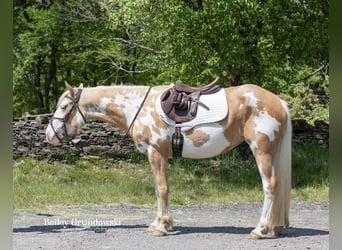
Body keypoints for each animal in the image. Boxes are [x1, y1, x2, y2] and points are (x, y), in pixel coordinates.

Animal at [44, 79, 292, 239]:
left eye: (64, 106)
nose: (49, 135)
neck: (137, 107)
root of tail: (278, 102)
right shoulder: (155, 156)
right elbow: (158, 189)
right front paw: (161, 223)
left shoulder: (157, 153)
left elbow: (162, 189)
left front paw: (161, 228)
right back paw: (274, 228)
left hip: (261, 151)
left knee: (270, 186)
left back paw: (260, 230)